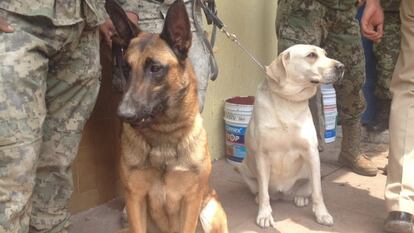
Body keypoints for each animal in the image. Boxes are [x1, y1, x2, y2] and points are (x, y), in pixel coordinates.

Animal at [106, 0, 230, 233]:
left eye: (155, 68)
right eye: (126, 68)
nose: (123, 113)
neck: (164, 135)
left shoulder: (191, 200)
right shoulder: (135, 199)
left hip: (209, 213)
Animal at [238, 43, 344, 228]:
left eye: (325, 54)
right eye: (311, 55)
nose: (342, 67)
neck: (288, 101)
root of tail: (283, 193)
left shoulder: (311, 152)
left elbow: (318, 192)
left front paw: (322, 214)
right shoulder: (262, 155)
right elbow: (264, 192)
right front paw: (264, 214)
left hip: (314, 170)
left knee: (308, 188)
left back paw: (300, 198)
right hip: (244, 168)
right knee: (262, 190)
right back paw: (259, 198)